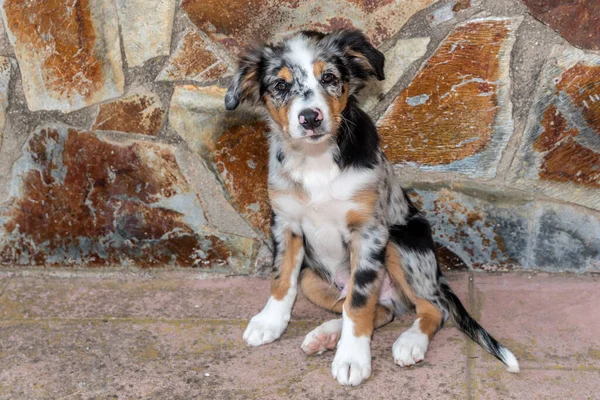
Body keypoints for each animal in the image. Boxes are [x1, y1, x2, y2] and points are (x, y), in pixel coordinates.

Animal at [225, 29, 520, 386]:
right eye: (280, 86)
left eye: (329, 78)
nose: (310, 118)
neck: (316, 160)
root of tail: (436, 276)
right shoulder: (285, 223)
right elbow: (282, 278)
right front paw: (269, 322)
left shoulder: (368, 232)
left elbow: (360, 300)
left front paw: (352, 359)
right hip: (313, 278)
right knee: (379, 309)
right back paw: (327, 334)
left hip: (401, 243)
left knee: (432, 307)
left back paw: (409, 342)